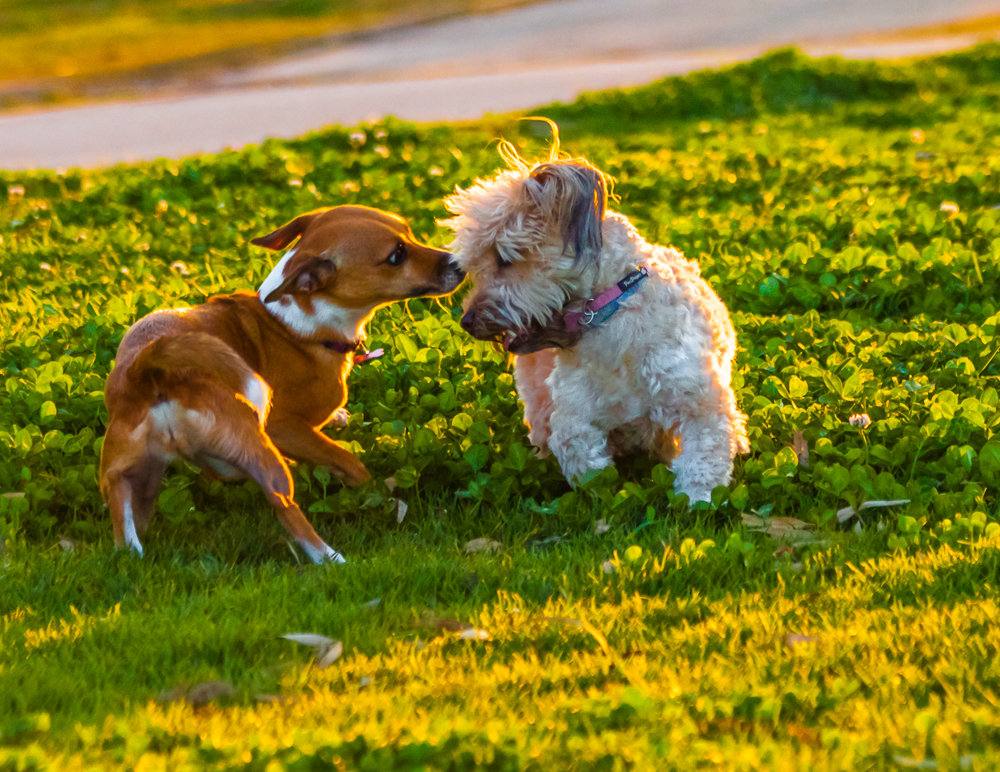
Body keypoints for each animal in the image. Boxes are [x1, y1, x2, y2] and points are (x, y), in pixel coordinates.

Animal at [99, 208, 462, 564]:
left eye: (409, 233)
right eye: (395, 256)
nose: (458, 263)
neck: (293, 321)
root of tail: (150, 370)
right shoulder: (285, 428)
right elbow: (350, 463)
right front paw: (363, 484)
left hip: (130, 471)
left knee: (124, 522)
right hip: (262, 454)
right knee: (286, 509)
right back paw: (329, 557)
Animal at [442, 148, 748, 504]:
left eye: (504, 259)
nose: (467, 321)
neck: (611, 316)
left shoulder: (699, 403)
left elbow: (702, 461)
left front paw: (696, 501)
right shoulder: (574, 415)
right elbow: (588, 466)